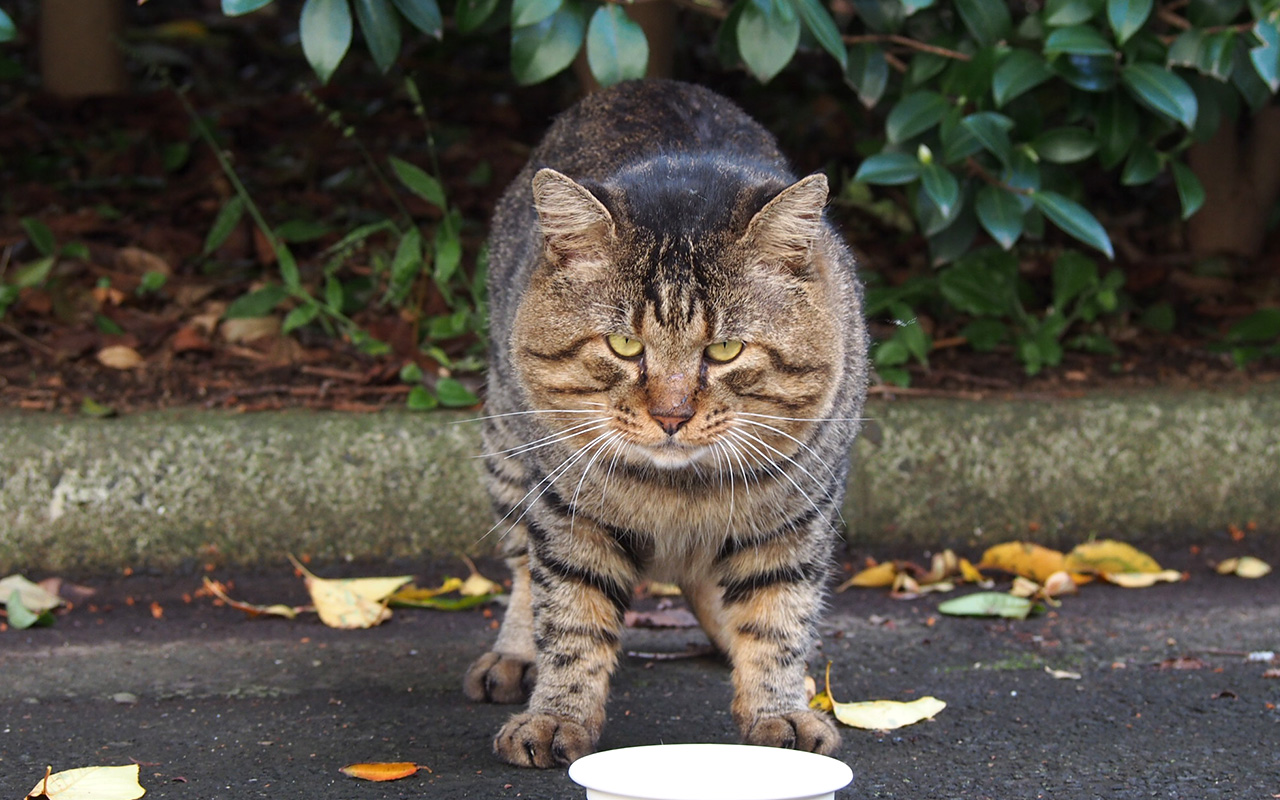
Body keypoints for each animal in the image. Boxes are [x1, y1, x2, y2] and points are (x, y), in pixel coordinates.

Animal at [463, 81, 870, 768]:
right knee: (522, 566)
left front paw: (778, 710)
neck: (680, 492)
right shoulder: (566, 511)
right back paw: (515, 654)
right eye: (624, 344)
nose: (671, 415)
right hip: (506, 443)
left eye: (725, 350)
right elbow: (569, 618)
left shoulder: (796, 514)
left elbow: (778, 616)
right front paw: (556, 715)